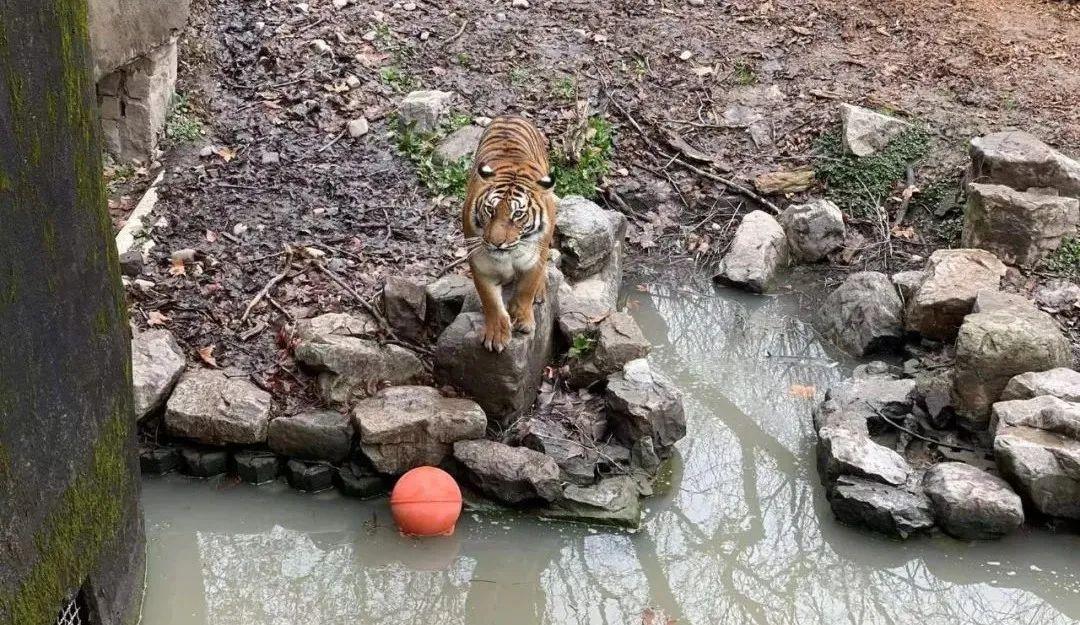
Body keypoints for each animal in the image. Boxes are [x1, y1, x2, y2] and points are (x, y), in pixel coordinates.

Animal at [462, 114, 557, 351]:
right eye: (490, 210)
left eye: (518, 214)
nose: (496, 243)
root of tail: (509, 115)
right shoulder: (480, 263)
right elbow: (490, 300)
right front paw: (496, 335)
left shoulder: (534, 257)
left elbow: (526, 289)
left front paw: (523, 320)